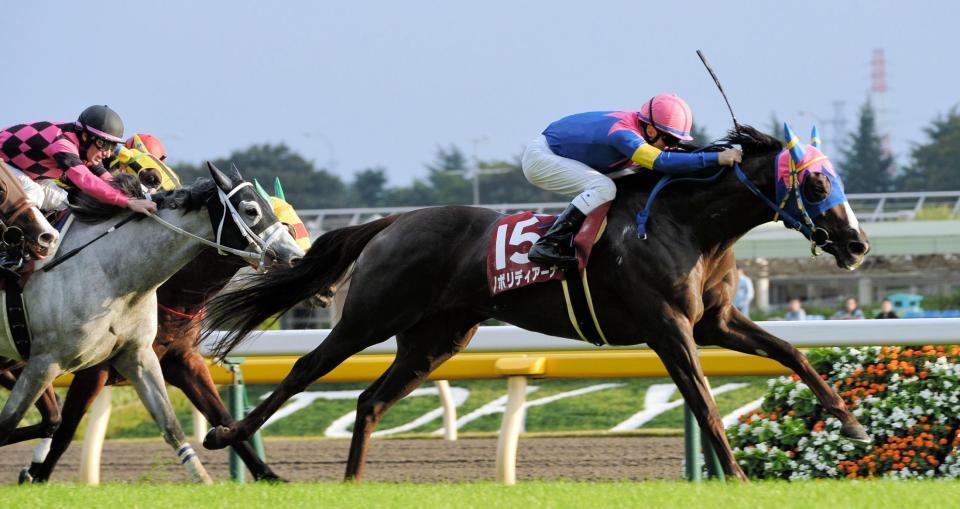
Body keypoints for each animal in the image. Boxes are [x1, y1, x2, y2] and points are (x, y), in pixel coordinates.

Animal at [0, 163, 304, 483]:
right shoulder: (65, 365)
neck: (112, 272)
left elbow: (194, 419)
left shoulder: (159, 357)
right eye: (251, 210)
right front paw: (37, 474)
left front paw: (257, 473)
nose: (297, 258)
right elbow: (59, 429)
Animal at [201, 125, 871, 481]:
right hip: (371, 316)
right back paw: (228, 436)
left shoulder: (716, 322)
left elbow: (792, 354)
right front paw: (735, 475)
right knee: (305, 369)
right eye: (817, 182)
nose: (858, 243)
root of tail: (394, 221)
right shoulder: (667, 328)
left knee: (369, 401)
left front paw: (851, 421)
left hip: (435, 339)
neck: (688, 226)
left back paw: (352, 479)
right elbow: (705, 403)